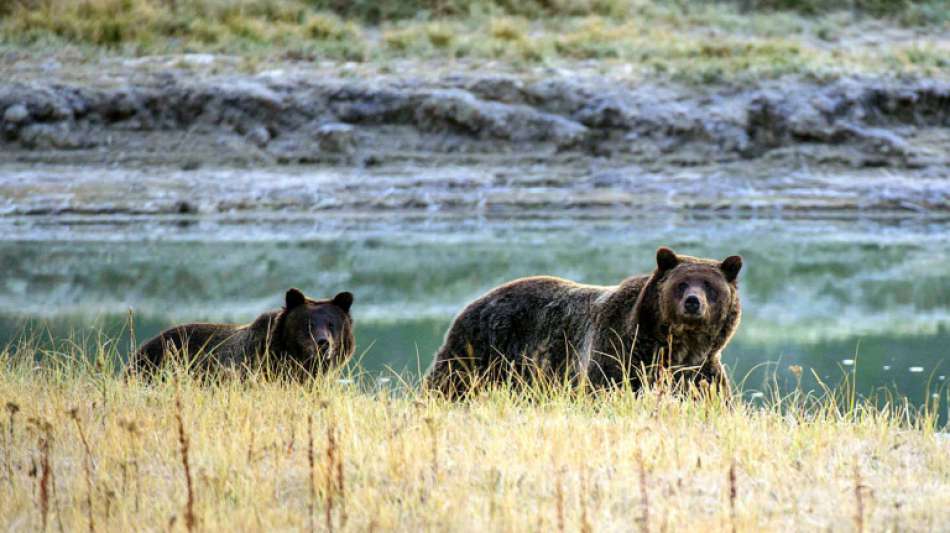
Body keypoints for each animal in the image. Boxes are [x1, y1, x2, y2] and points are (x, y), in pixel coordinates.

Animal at [424, 247, 744, 396]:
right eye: (682, 283)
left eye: (709, 286)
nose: (693, 302)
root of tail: (475, 301)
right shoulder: (619, 353)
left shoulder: (701, 371)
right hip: (481, 349)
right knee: (449, 383)